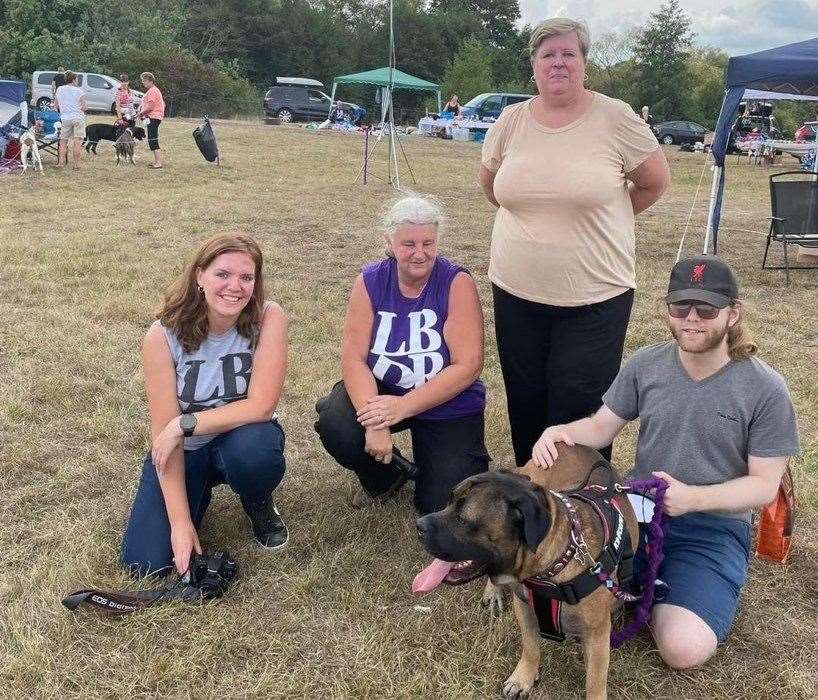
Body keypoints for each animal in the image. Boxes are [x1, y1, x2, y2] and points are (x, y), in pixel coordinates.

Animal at [414, 446, 636, 696]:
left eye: (462, 519)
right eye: (449, 501)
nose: (419, 526)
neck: (550, 569)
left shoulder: (597, 635)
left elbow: (595, 680)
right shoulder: (524, 607)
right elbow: (530, 646)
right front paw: (523, 678)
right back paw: (493, 592)